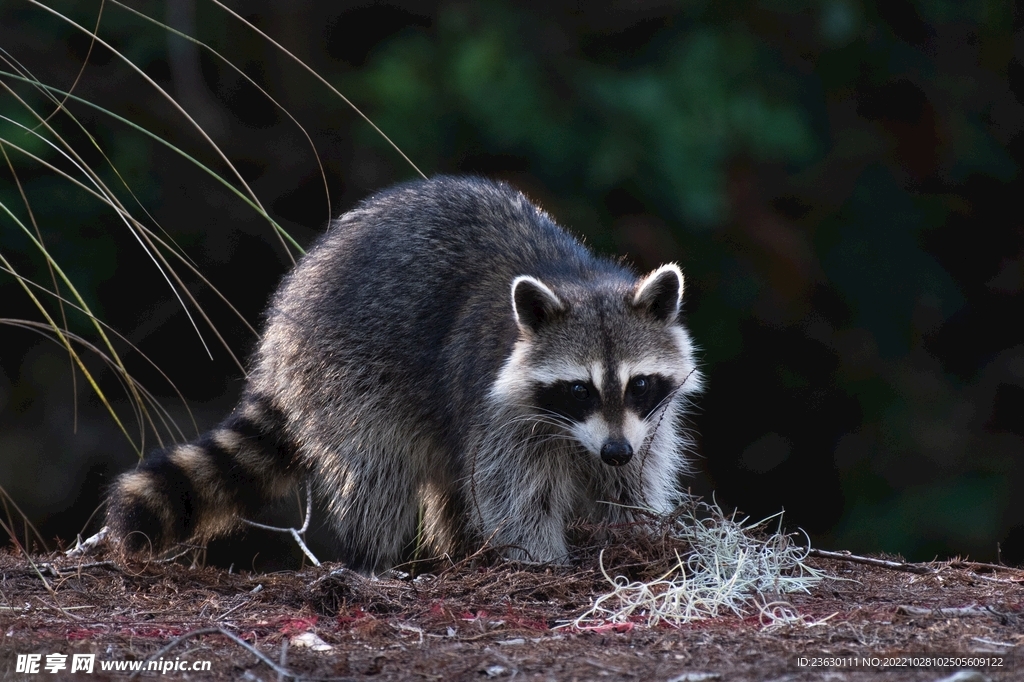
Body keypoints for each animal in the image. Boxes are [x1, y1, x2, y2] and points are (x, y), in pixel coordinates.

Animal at [105, 175, 704, 569]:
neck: (578, 279)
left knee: (449, 477)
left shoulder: (644, 423)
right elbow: (514, 492)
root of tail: (285, 317)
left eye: (639, 383)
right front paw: (539, 559)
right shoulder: (497, 406)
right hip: (347, 372)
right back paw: (372, 560)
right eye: (579, 389)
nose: (614, 450)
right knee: (379, 469)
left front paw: (635, 532)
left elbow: (631, 479)